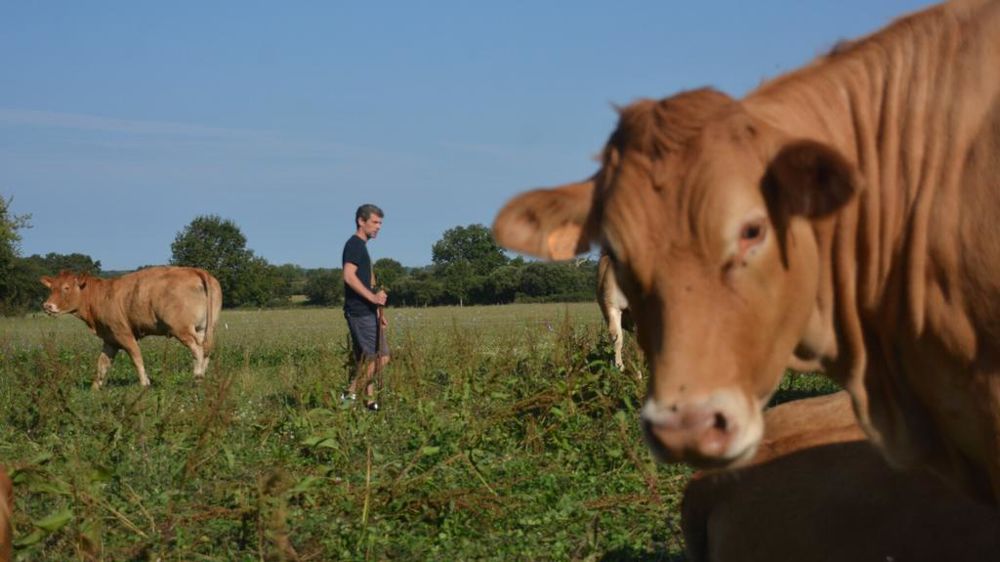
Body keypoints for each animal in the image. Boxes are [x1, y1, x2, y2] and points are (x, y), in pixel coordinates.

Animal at [40, 267, 223, 388]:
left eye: (66, 288)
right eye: (51, 288)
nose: (47, 306)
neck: (100, 296)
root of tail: (195, 270)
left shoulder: (123, 334)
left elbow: (136, 358)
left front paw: (144, 383)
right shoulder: (110, 339)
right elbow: (102, 364)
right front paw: (95, 388)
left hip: (182, 328)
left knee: (197, 349)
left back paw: (197, 376)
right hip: (205, 328)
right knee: (207, 349)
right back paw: (202, 377)